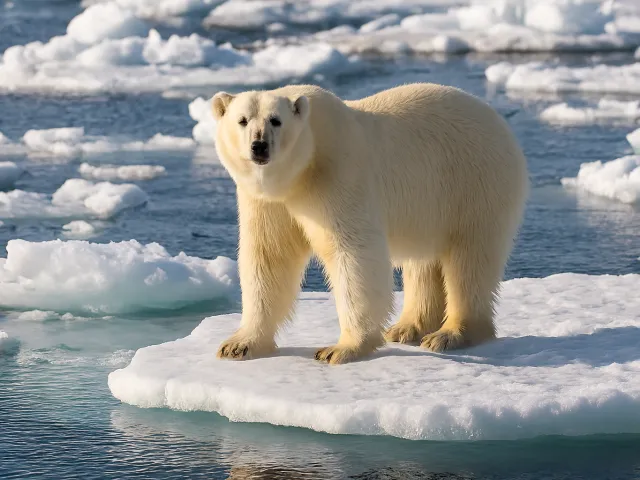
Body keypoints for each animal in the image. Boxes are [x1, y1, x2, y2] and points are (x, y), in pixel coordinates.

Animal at [211, 83, 528, 365]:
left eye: (276, 120)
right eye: (242, 120)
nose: (259, 146)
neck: (301, 172)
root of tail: (500, 123)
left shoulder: (338, 173)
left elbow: (353, 253)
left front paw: (340, 349)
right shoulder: (266, 201)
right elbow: (269, 256)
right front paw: (238, 345)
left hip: (474, 182)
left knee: (470, 259)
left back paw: (450, 334)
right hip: (431, 206)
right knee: (424, 262)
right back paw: (407, 327)